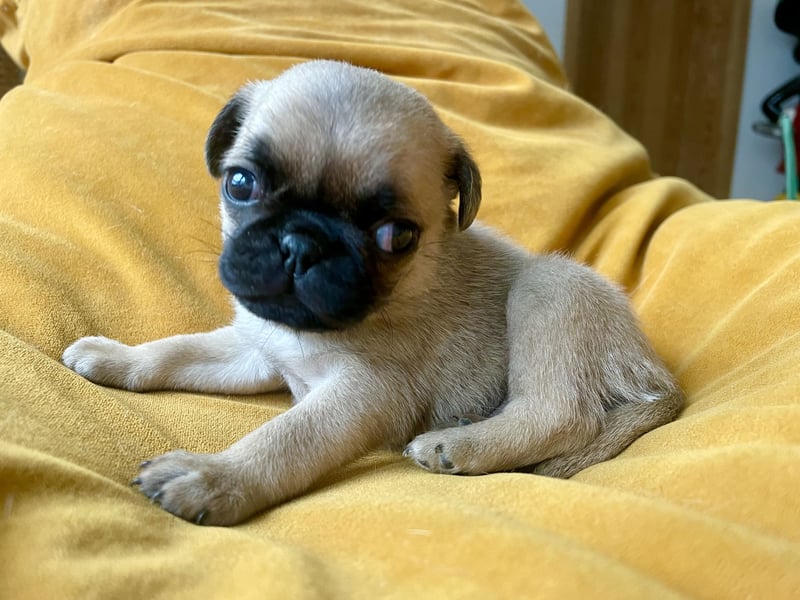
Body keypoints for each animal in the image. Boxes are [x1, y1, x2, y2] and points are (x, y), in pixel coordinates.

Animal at [64, 59, 680, 524]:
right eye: (240, 183)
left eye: (395, 236)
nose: (301, 244)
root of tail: (659, 380)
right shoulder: (256, 353)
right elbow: (177, 350)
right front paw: (117, 357)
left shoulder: (363, 396)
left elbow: (285, 438)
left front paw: (216, 477)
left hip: (548, 287)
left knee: (562, 414)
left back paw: (457, 446)